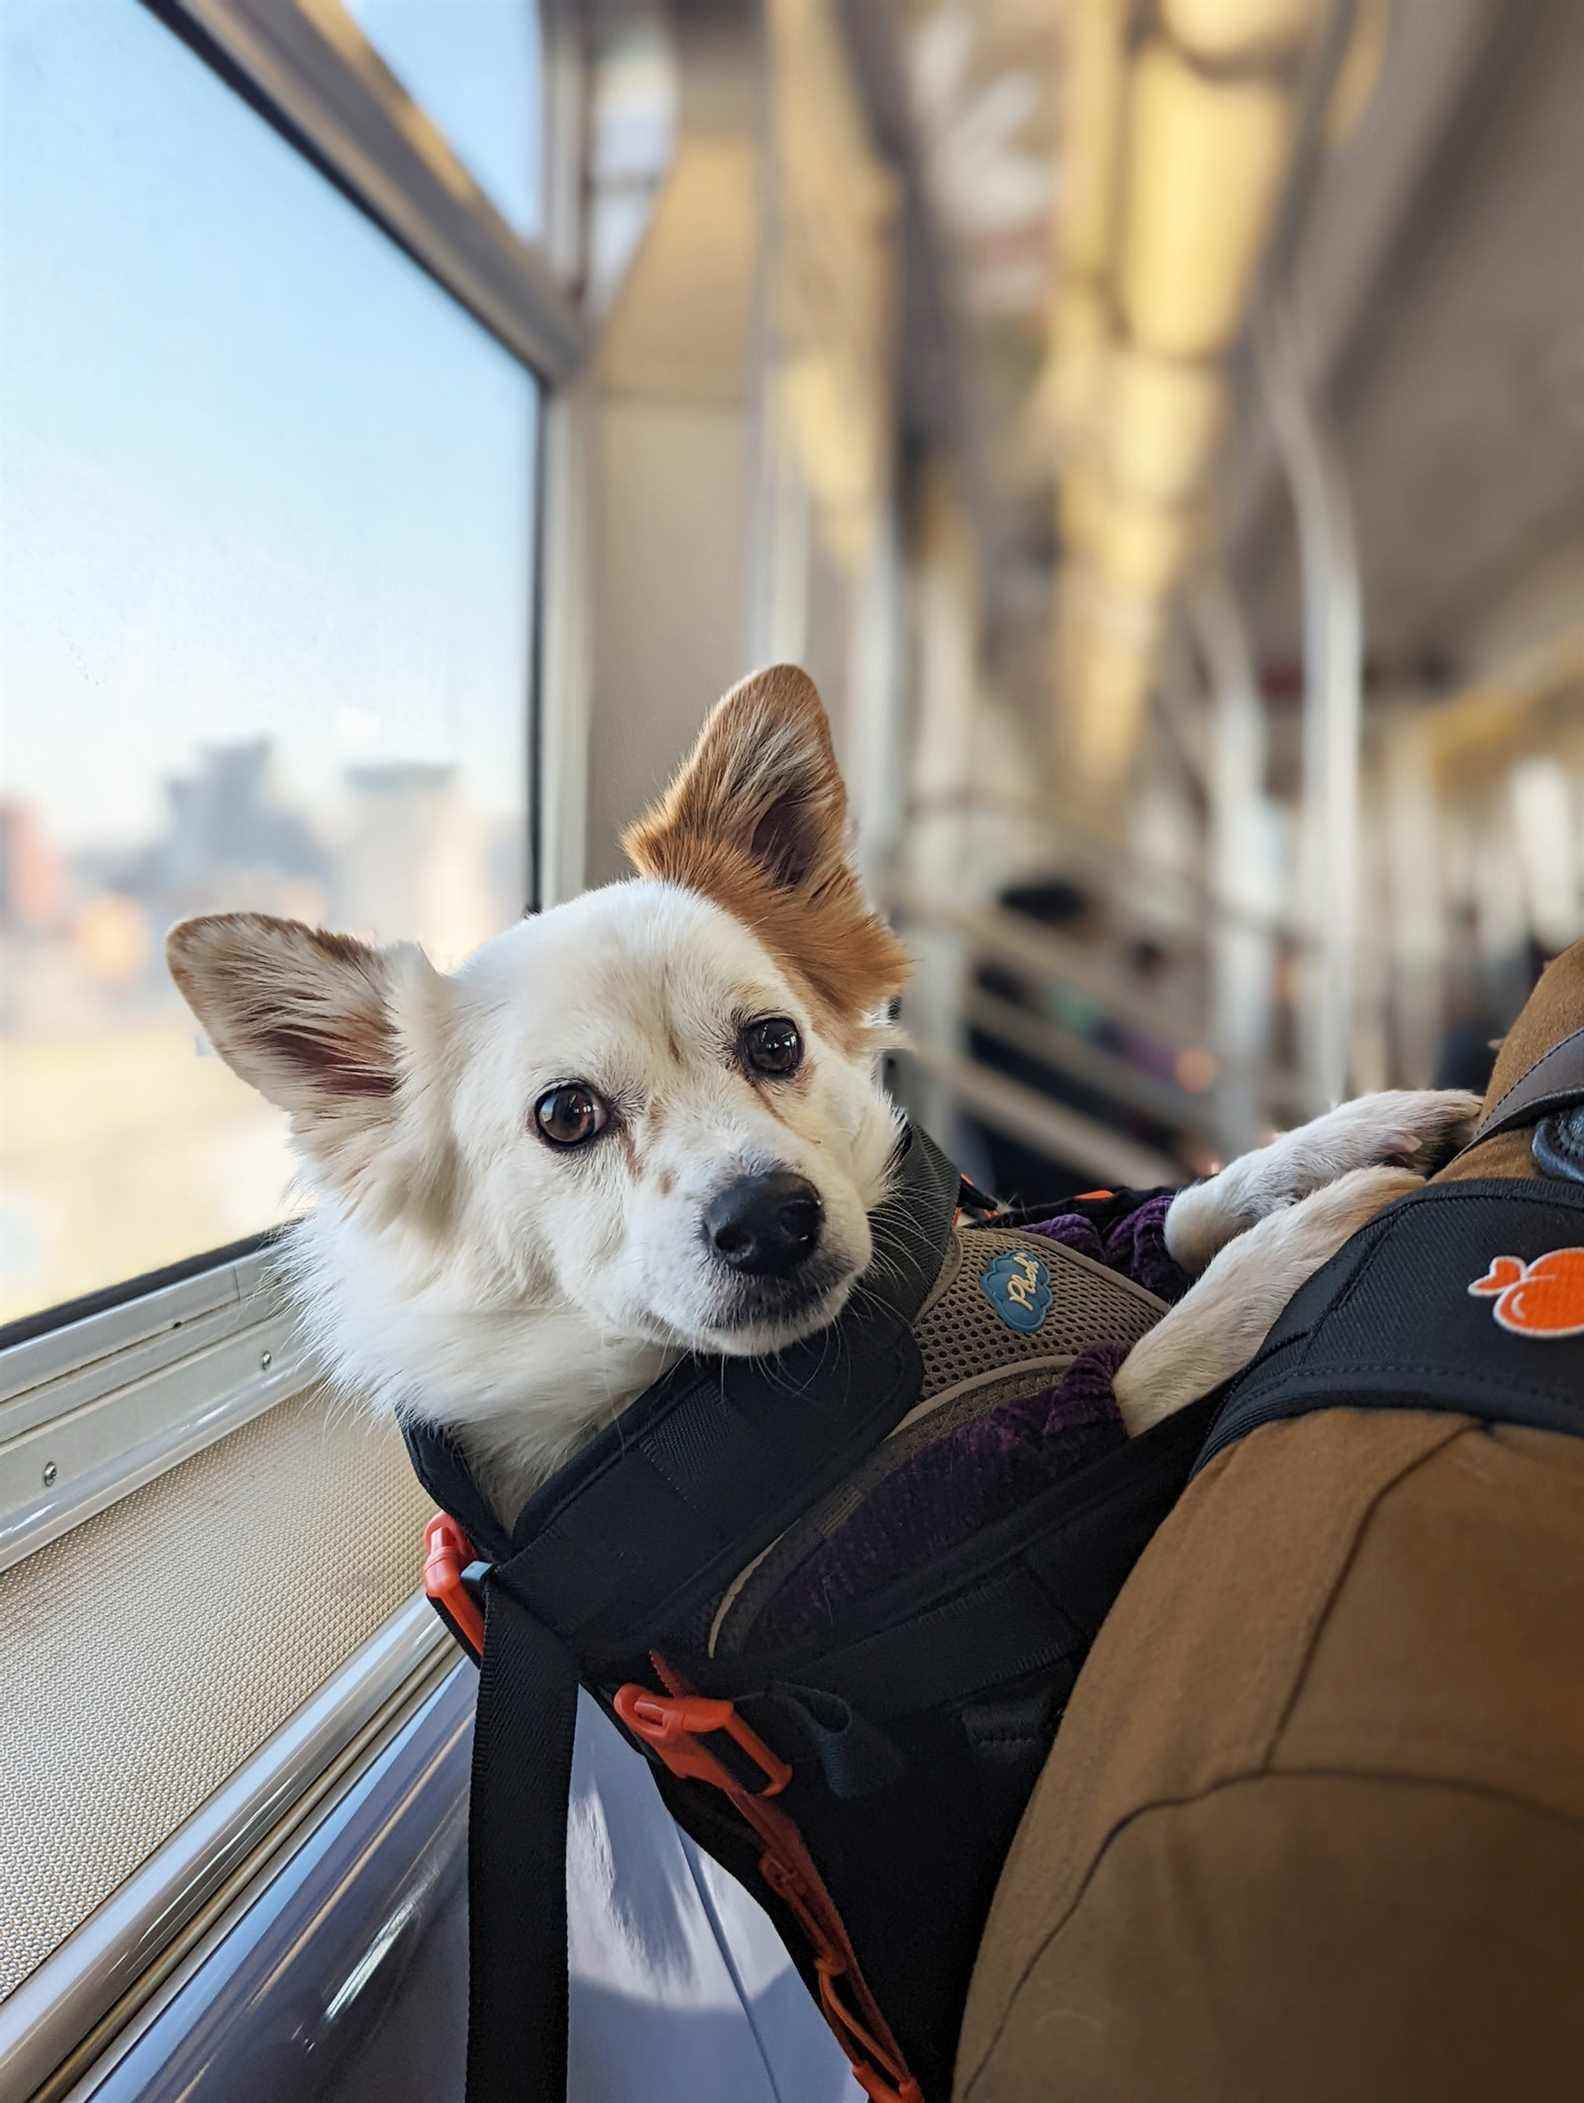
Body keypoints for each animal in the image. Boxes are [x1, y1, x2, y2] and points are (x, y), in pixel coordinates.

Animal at [167, 668, 1480, 1514]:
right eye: (566, 1117)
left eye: (774, 1043)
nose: (770, 1221)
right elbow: (1149, 1362)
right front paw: (1302, 1245)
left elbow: (1187, 1210)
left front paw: (1350, 1137)